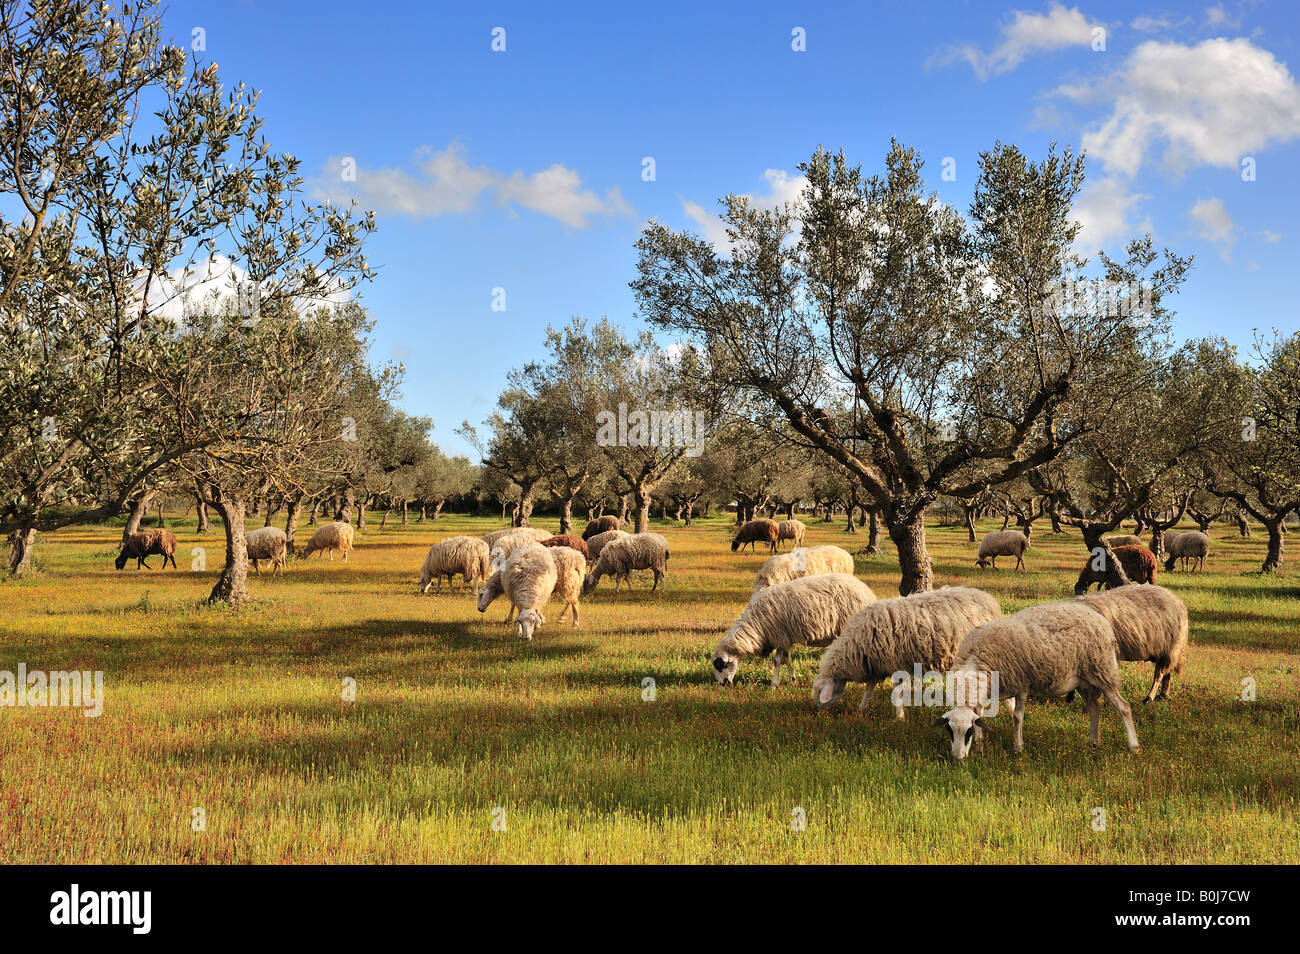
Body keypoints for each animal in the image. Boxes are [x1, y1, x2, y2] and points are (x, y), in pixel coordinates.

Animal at [707, 571, 878, 691]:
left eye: (720, 665)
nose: (723, 685)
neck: (756, 625)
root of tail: (867, 592)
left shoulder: (779, 635)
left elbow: (777, 661)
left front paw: (773, 685)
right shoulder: (785, 638)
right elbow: (786, 658)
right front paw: (793, 679)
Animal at [811, 590, 1003, 717]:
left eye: (820, 691)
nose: (817, 711)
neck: (856, 645)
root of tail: (990, 601)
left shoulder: (895, 664)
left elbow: (896, 694)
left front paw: (899, 717)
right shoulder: (875, 665)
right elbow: (869, 688)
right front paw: (862, 708)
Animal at [935, 605, 1138, 764]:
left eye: (967, 732)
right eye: (949, 731)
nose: (958, 758)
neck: (976, 659)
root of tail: (1102, 620)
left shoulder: (1022, 685)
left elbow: (1017, 716)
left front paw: (1018, 747)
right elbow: (980, 713)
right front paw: (980, 742)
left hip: (1103, 671)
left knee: (1124, 707)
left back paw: (1134, 746)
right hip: (1085, 681)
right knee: (1095, 708)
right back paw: (1093, 742)